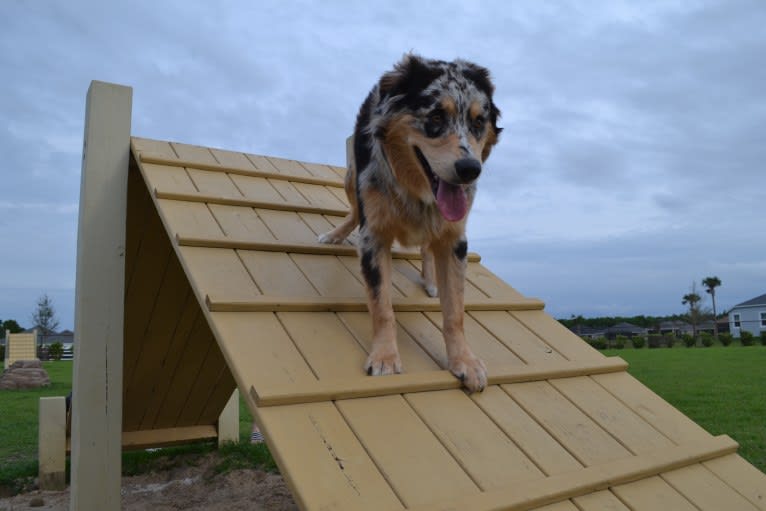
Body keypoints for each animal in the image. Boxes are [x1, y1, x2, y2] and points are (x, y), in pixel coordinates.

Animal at [320, 55, 504, 392]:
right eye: (436, 116)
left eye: (478, 122)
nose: (470, 170)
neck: (416, 191)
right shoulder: (374, 237)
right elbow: (382, 306)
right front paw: (384, 357)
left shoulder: (455, 241)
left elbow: (455, 312)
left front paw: (464, 361)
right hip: (351, 176)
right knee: (354, 209)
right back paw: (336, 234)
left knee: (427, 248)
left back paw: (430, 280)